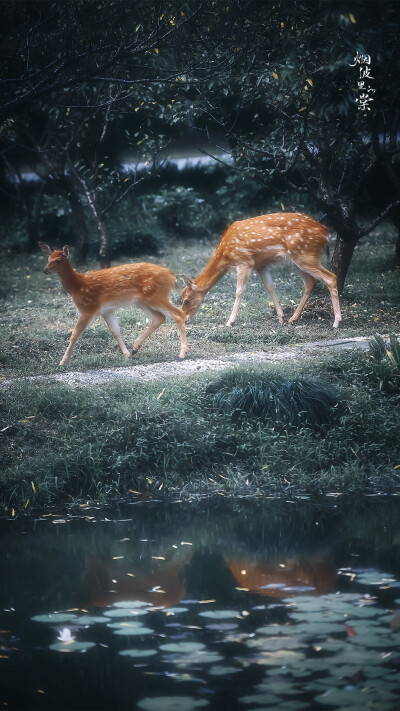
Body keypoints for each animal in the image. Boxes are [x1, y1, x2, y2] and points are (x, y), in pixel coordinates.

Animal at [38, 245, 188, 368]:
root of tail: (171, 277)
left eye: (58, 260)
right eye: (48, 258)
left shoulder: (87, 308)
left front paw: (62, 362)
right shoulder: (107, 310)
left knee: (178, 314)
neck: (77, 286)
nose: (45, 270)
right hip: (143, 301)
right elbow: (115, 330)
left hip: (156, 296)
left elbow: (74, 334)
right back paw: (135, 348)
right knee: (159, 317)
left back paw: (182, 354)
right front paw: (127, 354)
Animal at [181, 211, 340, 328]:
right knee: (310, 283)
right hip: (298, 260)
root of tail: (325, 232)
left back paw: (336, 322)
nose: (184, 320)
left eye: (186, 301)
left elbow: (239, 291)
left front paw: (230, 321)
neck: (225, 255)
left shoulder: (245, 262)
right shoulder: (260, 265)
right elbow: (269, 287)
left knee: (330, 277)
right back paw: (293, 318)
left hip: (306, 255)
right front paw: (281, 317)